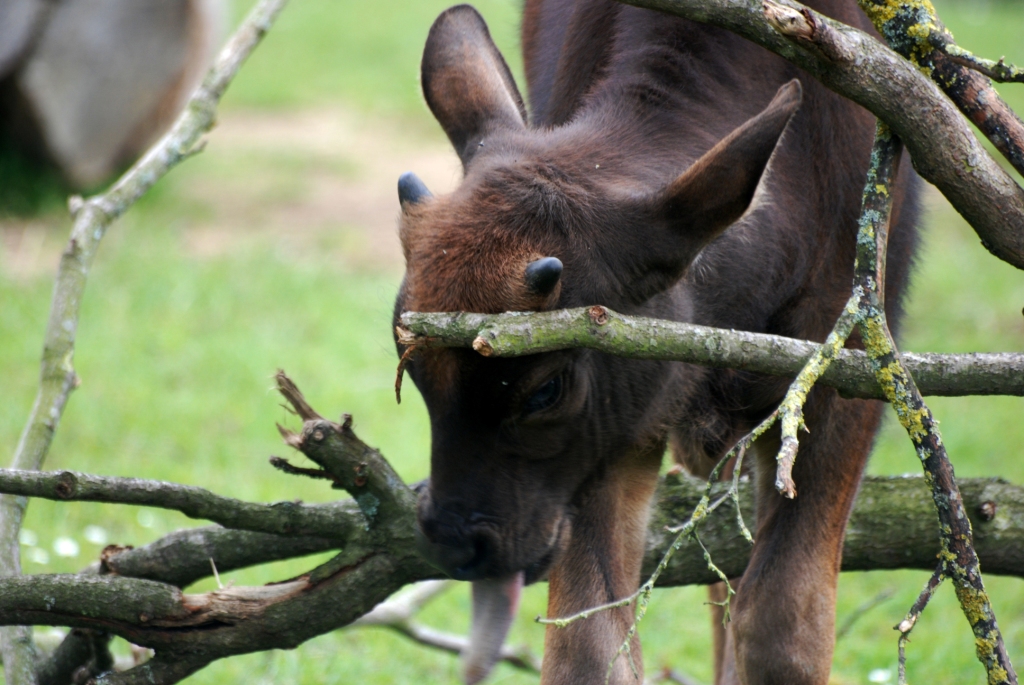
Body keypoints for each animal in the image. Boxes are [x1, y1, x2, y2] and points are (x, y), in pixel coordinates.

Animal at [393, 2, 918, 684]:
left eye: (545, 389)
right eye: (413, 369)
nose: (458, 541)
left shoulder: (848, 364)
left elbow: (783, 629)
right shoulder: (620, 430)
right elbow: (589, 648)